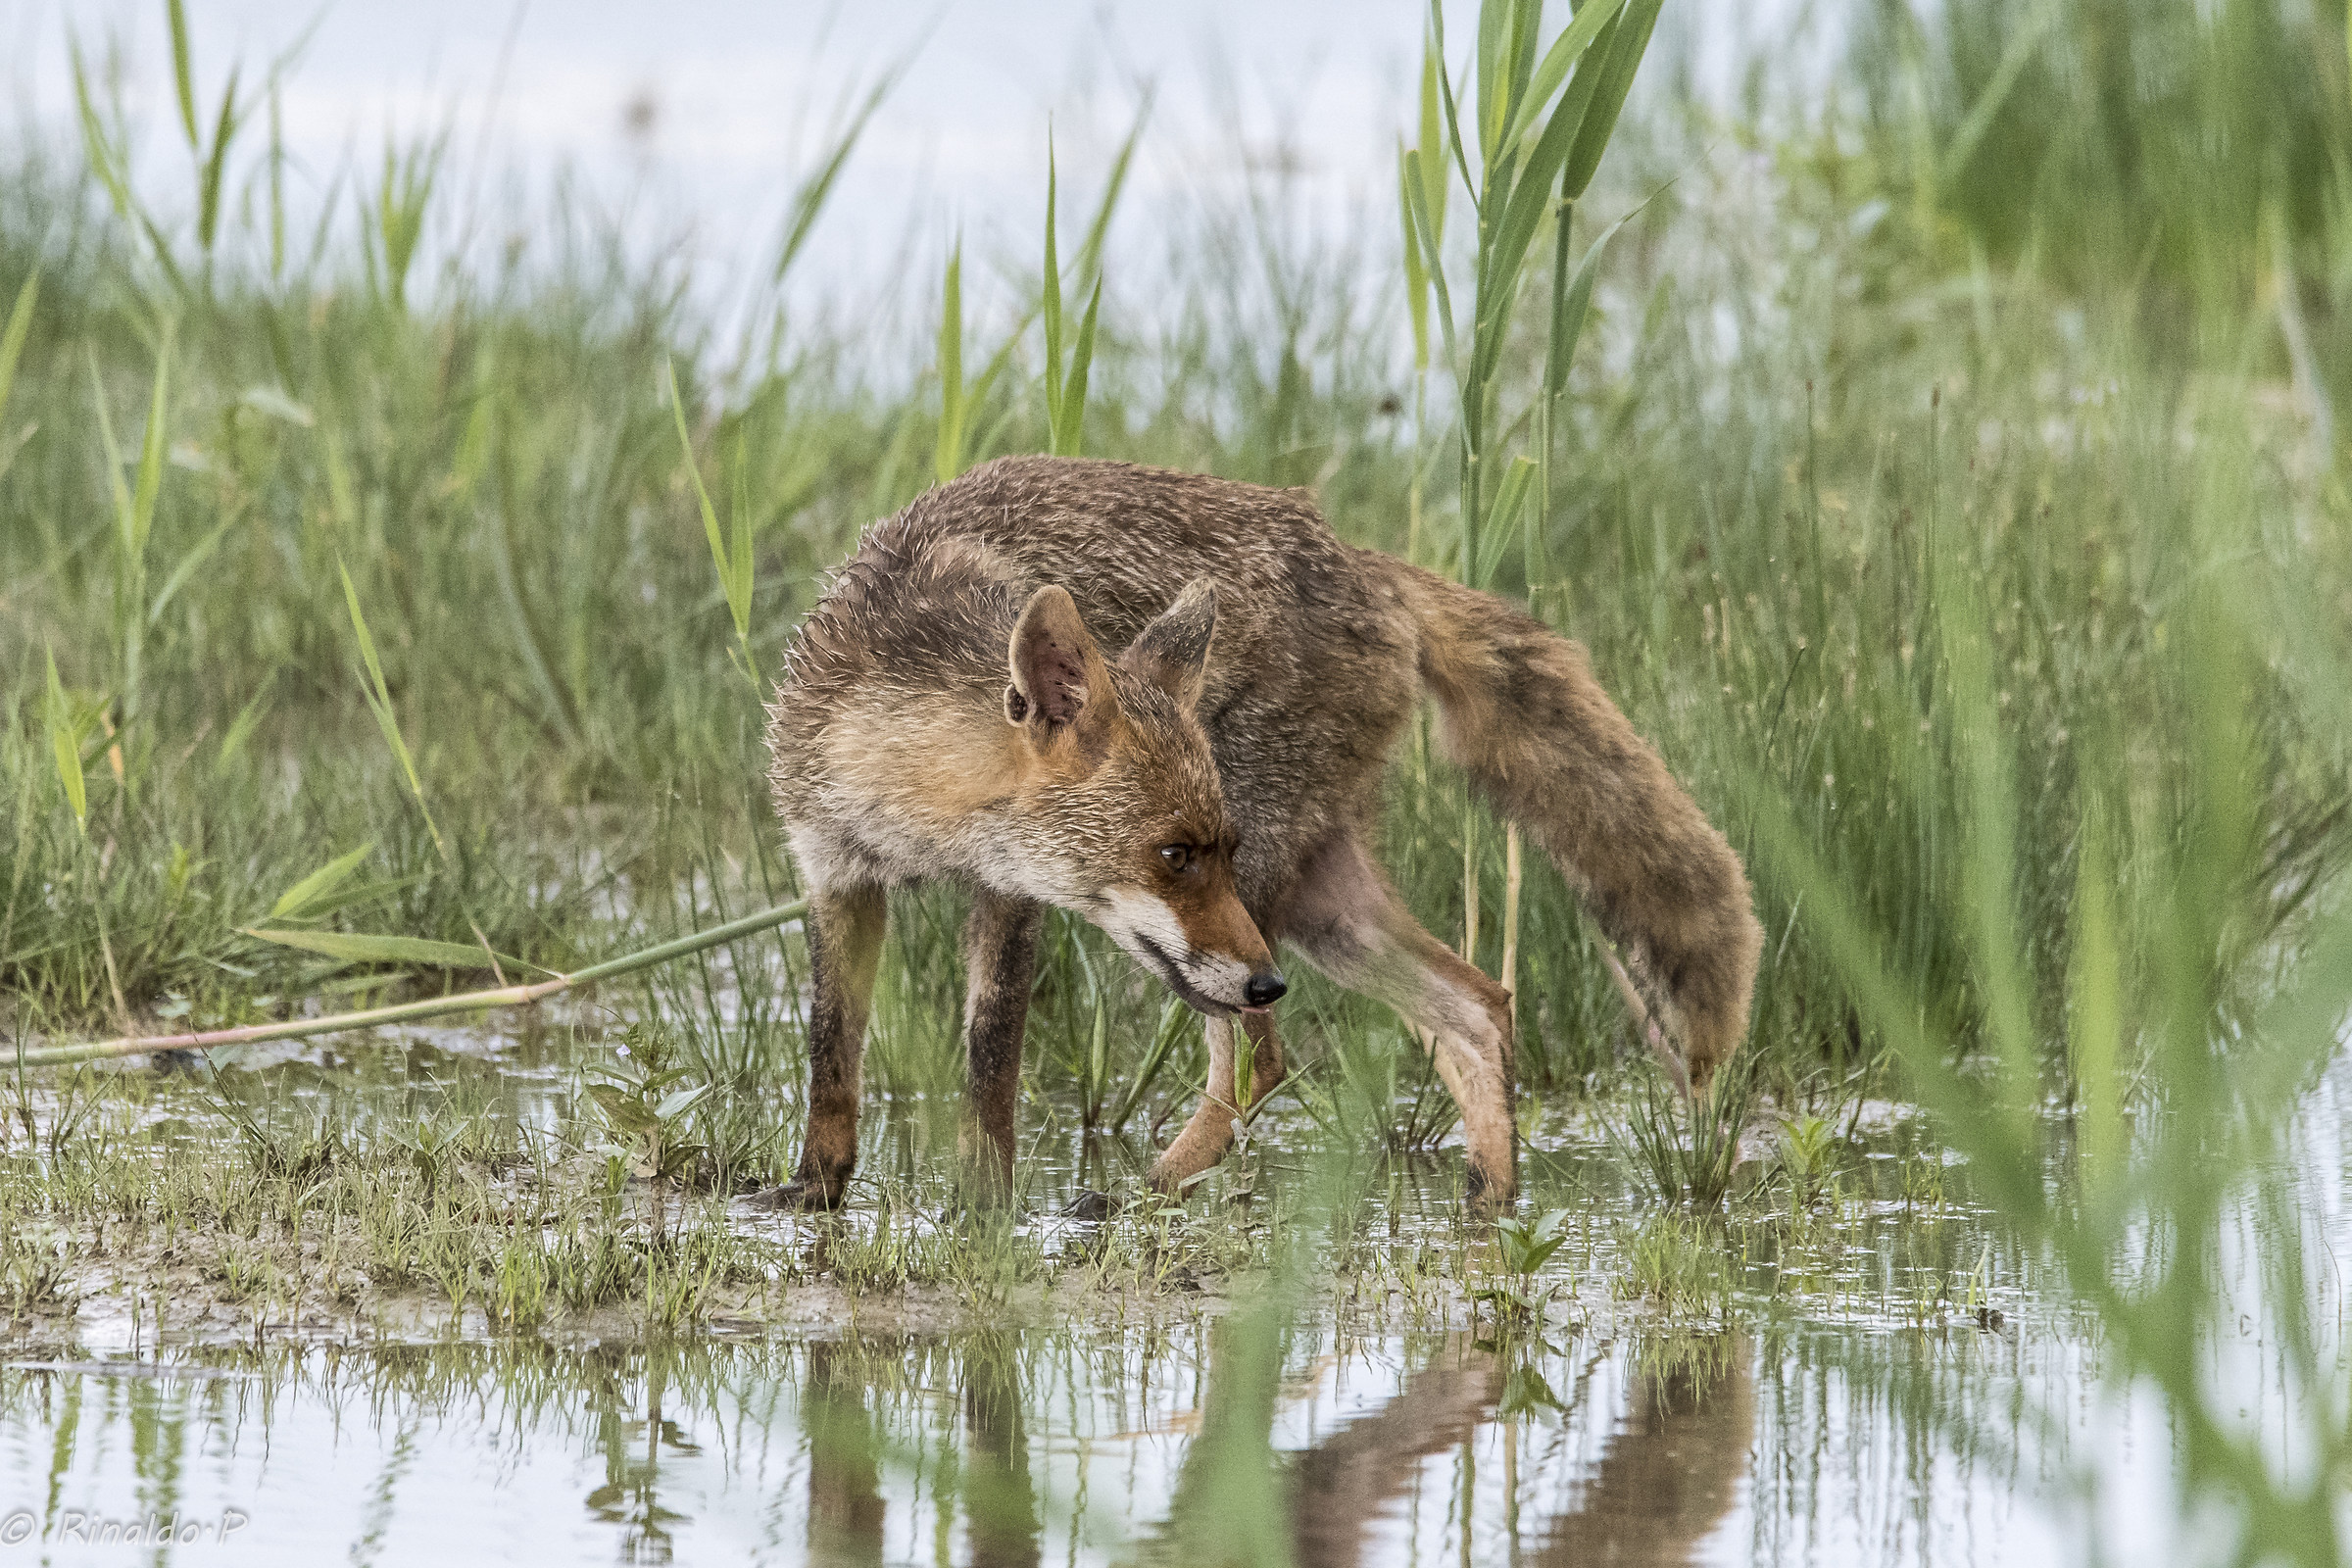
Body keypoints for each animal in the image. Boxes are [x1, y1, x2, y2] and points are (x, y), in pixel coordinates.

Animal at [759, 455, 1761, 1212]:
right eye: (1174, 855)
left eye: (1215, 850)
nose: (1270, 983)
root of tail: (1358, 557)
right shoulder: (832, 871)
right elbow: (831, 1056)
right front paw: (815, 1191)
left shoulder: (1009, 898)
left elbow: (990, 1065)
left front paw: (983, 1207)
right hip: (1317, 914)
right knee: (1479, 1008)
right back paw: (1492, 1205)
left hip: (1272, 910)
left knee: (1264, 1061)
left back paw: (1138, 1194)